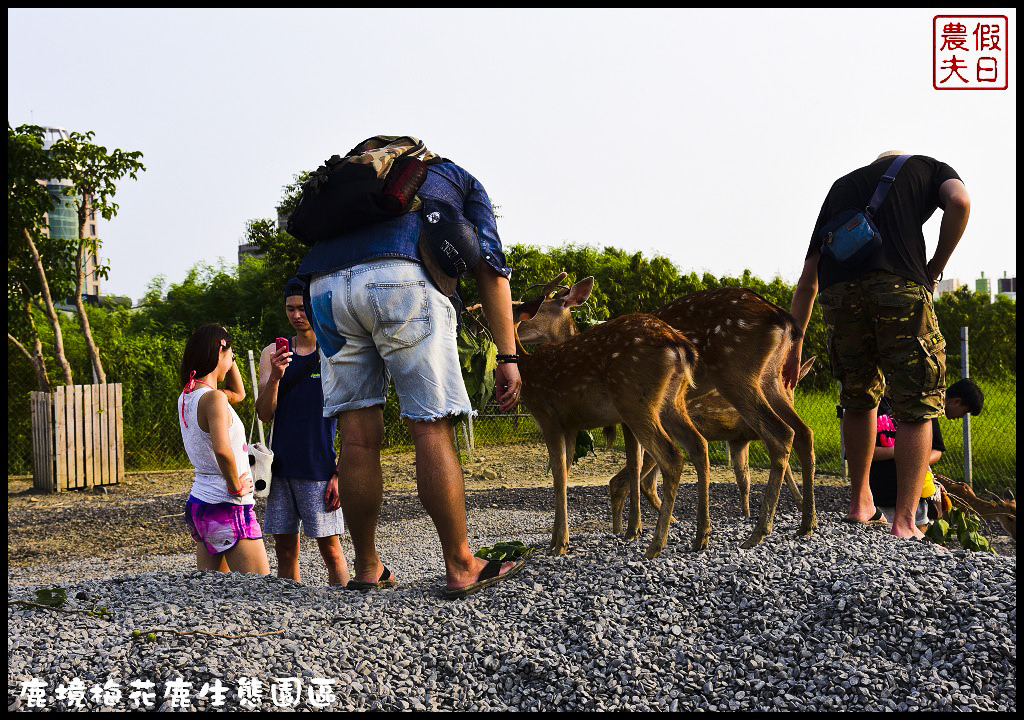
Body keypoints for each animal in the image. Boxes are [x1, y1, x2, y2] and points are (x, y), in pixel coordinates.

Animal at [512, 272, 712, 553]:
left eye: (541, 306)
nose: (518, 324)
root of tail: (681, 346)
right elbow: (626, 463)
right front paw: (630, 528)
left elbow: (627, 463)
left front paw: (631, 529)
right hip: (670, 403)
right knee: (699, 445)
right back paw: (701, 534)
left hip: (634, 401)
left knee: (672, 455)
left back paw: (658, 542)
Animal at [606, 358, 815, 532]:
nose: (789, 399)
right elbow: (786, 469)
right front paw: (800, 504)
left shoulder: (738, 439)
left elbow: (744, 479)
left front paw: (746, 514)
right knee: (624, 481)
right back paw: (626, 529)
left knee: (644, 481)